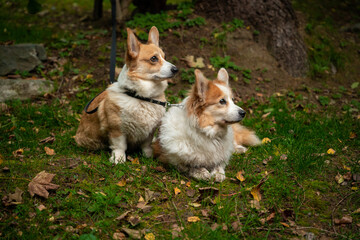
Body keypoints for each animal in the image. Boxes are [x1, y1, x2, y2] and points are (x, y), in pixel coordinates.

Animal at [75, 26, 179, 165]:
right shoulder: (117, 130)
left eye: (164, 57)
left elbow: (146, 144)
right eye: (153, 58)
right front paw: (118, 159)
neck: (141, 97)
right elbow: (120, 146)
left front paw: (148, 155)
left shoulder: (150, 130)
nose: (176, 69)